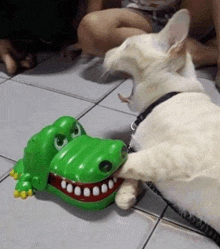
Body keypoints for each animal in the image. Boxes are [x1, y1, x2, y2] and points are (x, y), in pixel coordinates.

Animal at [104, 9, 220, 233]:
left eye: (126, 45)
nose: (105, 53)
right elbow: (136, 168)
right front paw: (126, 194)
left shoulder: (184, 152)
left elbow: (134, 161)